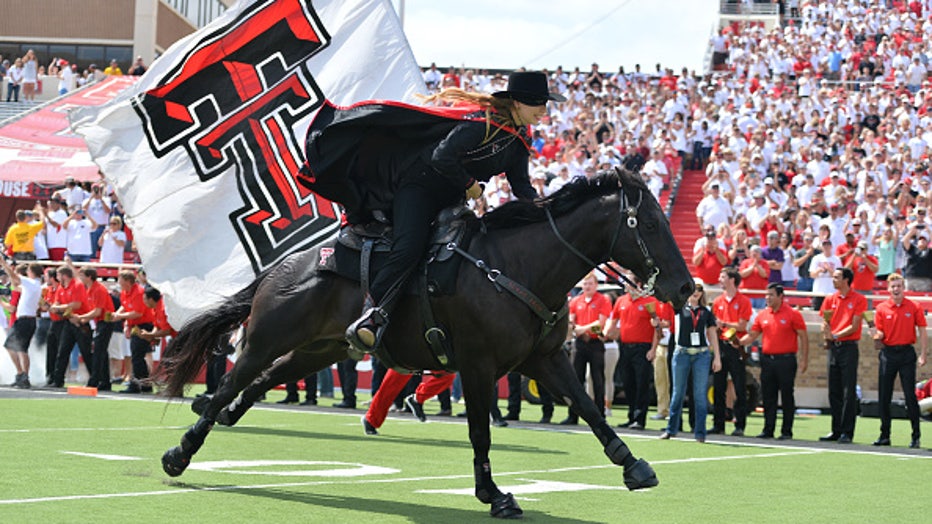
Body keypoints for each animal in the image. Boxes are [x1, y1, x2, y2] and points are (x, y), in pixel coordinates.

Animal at [157, 167, 692, 516]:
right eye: (648, 224)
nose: (685, 288)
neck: (516, 266)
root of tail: (281, 266)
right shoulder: (478, 366)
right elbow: (480, 432)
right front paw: (493, 494)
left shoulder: (545, 360)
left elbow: (589, 408)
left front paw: (633, 465)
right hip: (267, 339)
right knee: (230, 385)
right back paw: (179, 452)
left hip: (317, 350)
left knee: (260, 381)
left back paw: (220, 420)